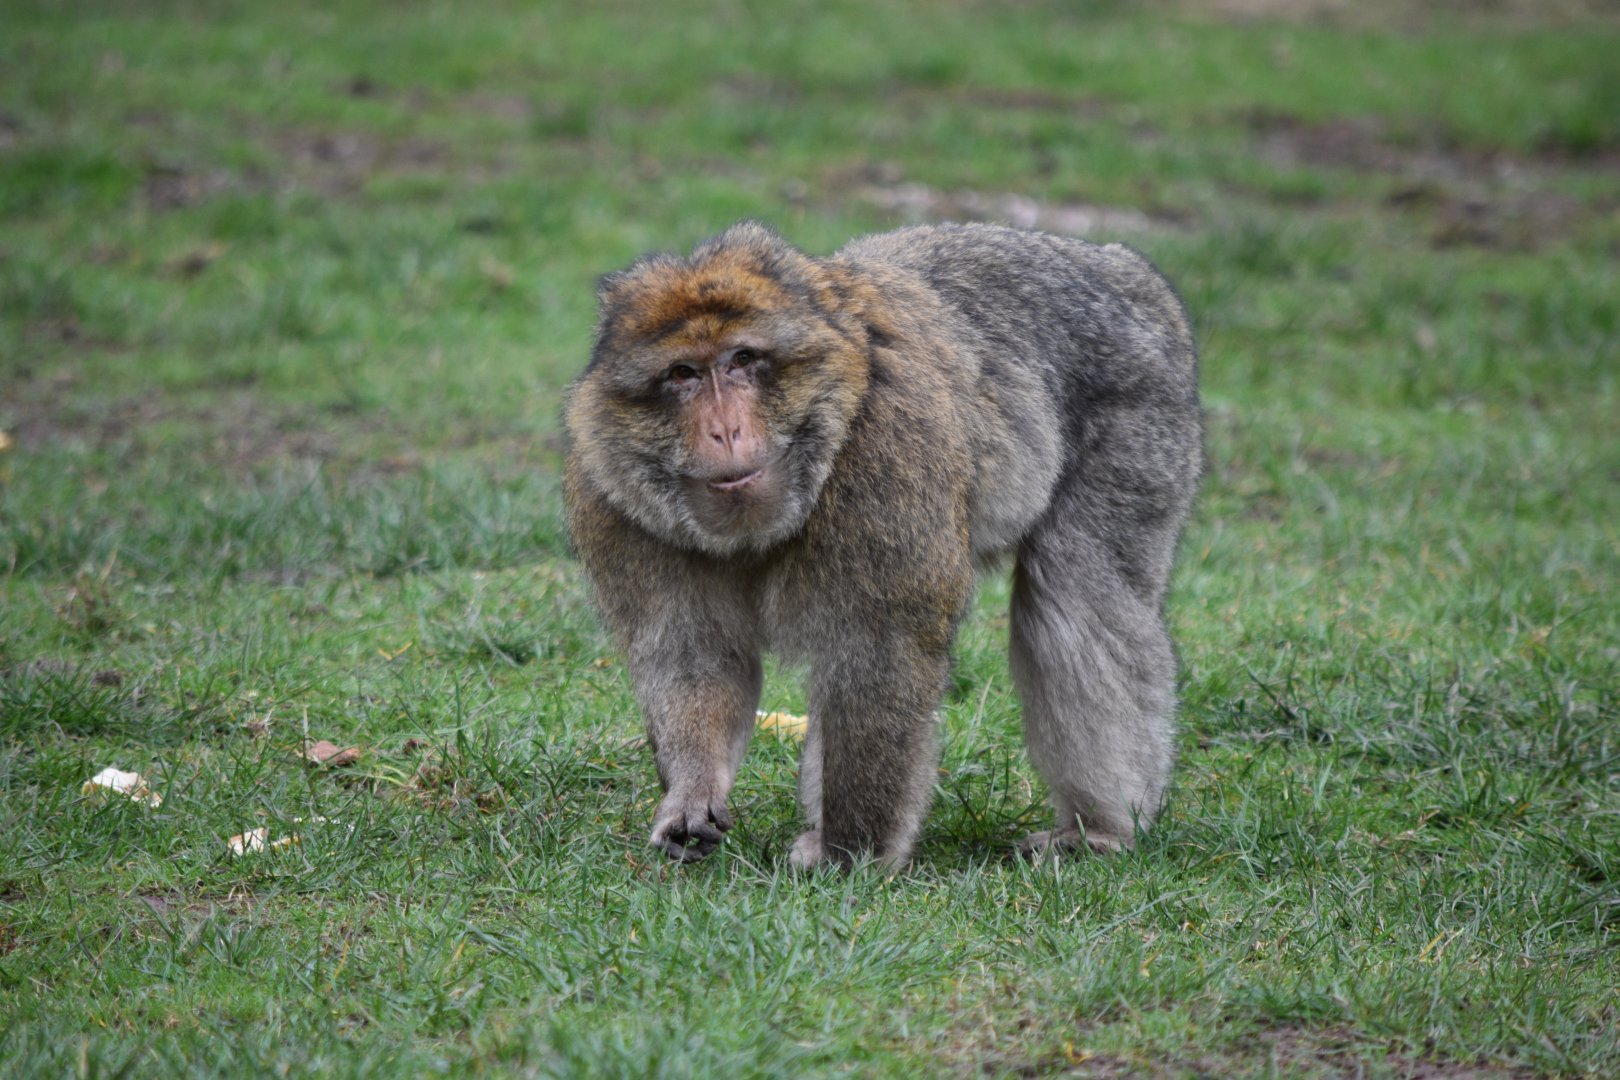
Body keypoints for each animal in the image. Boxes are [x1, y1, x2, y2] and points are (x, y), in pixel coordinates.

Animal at [564, 221, 1202, 869]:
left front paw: (852, 854)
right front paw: (693, 795)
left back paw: (1102, 827)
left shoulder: (886, 456)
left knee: (1078, 597)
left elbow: (880, 650)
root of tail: (1119, 265)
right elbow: (696, 656)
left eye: (743, 359)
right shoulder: (616, 501)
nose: (725, 429)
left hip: (1139, 411)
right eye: (684, 374)